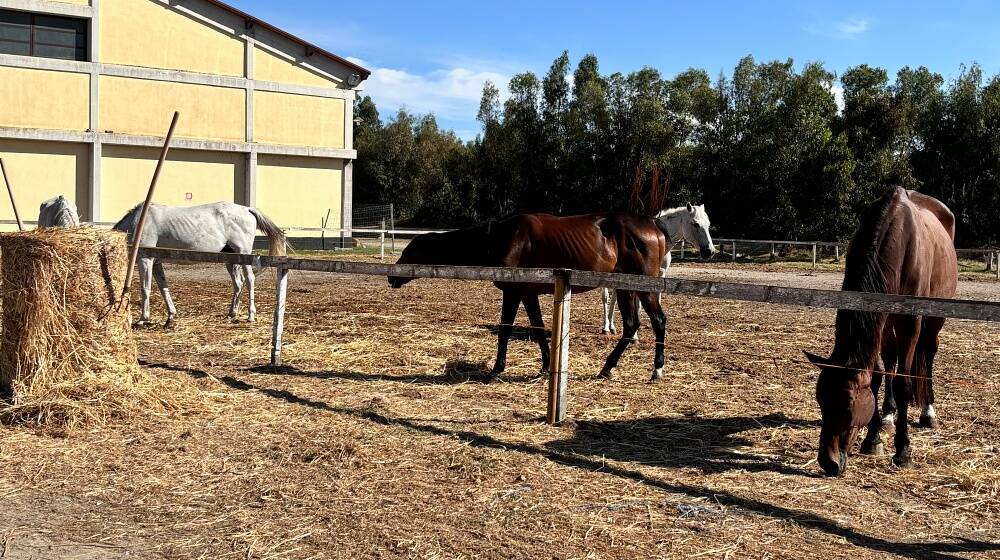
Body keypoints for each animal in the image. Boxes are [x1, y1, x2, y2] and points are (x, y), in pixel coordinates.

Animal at [114, 200, 288, 326]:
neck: (138, 223)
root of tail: (247, 209)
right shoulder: (157, 262)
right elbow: (164, 288)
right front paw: (171, 316)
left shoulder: (145, 260)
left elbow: (145, 289)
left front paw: (143, 319)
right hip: (231, 258)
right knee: (238, 283)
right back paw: (232, 314)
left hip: (244, 254)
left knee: (250, 280)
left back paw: (250, 315)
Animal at [386, 213, 668, 380]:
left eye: (410, 252)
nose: (391, 277)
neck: (503, 238)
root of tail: (653, 225)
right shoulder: (528, 293)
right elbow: (539, 327)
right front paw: (545, 366)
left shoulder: (513, 292)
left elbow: (505, 329)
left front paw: (497, 368)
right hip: (626, 289)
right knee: (631, 325)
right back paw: (607, 368)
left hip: (643, 288)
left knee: (658, 321)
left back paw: (657, 369)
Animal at [596, 206, 716, 336]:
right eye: (695, 224)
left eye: (708, 224)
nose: (710, 251)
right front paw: (635, 335)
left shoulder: (659, 275)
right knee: (605, 297)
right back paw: (606, 327)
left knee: (614, 297)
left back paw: (612, 326)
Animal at [800, 186, 956, 474]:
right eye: (821, 401)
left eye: (848, 407)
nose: (828, 461)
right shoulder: (881, 321)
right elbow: (877, 377)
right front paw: (873, 440)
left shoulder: (911, 322)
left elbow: (904, 383)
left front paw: (903, 451)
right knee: (893, 360)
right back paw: (888, 415)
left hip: (933, 319)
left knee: (928, 354)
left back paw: (928, 413)